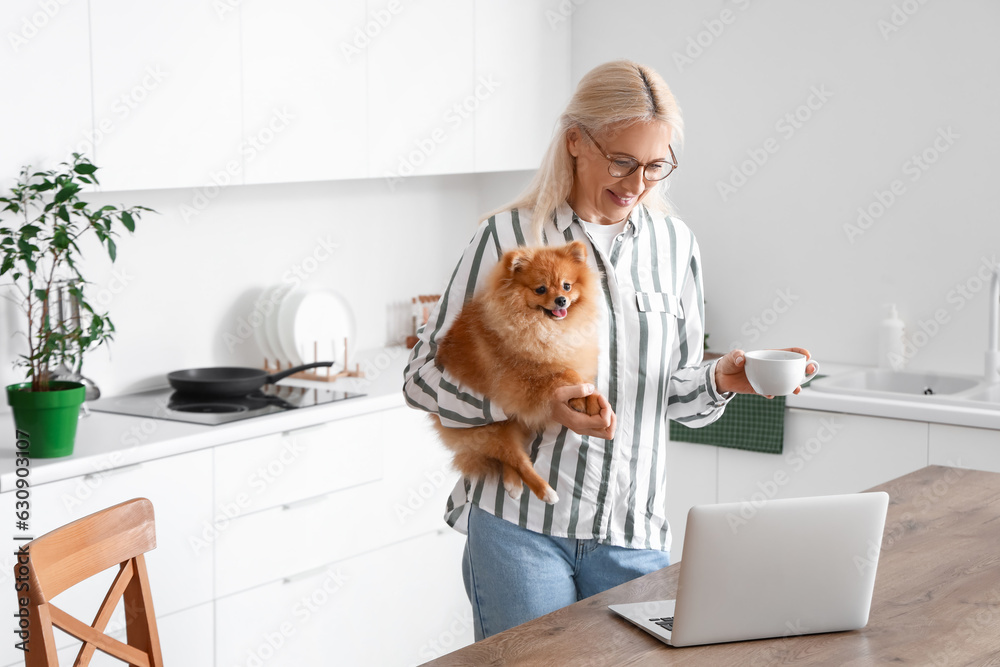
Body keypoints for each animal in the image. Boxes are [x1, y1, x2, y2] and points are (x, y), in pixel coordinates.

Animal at [432, 241, 600, 506]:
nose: (561, 300)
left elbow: (580, 377)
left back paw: (513, 485)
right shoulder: (526, 379)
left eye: (567, 285)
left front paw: (591, 399)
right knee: (516, 459)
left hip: (509, 426)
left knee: (510, 457)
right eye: (541, 289)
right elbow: (567, 374)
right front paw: (580, 397)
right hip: (489, 430)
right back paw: (544, 491)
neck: (545, 328)